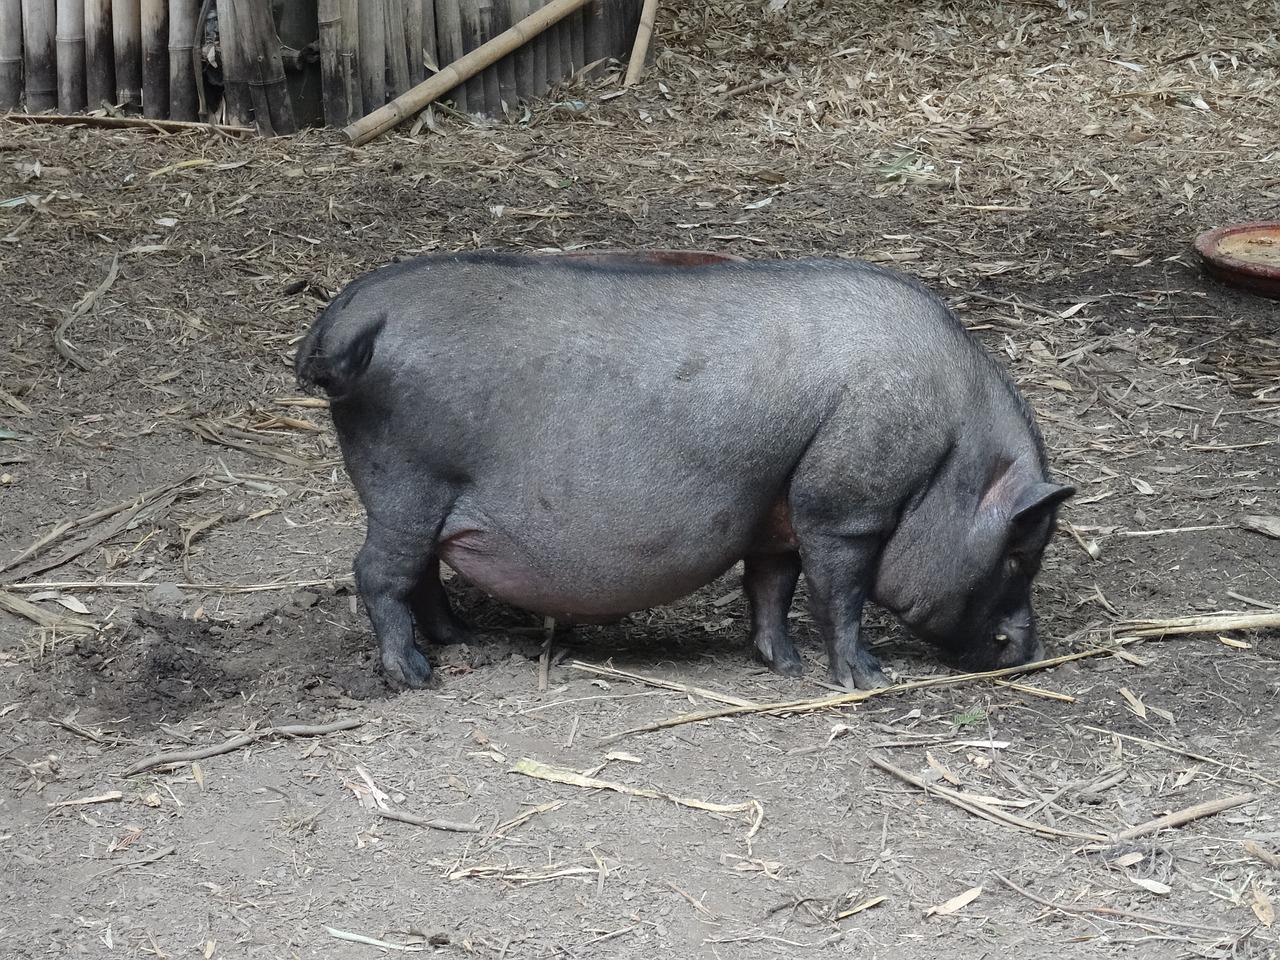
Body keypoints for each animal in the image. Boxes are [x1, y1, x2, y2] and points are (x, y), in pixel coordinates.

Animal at [294, 252, 1075, 691]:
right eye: (1021, 553)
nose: (1031, 647)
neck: (951, 456)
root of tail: (349, 317)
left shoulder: (778, 514)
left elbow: (771, 587)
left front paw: (784, 667)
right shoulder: (843, 510)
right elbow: (839, 594)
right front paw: (864, 679)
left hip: (420, 502)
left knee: (421, 573)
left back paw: (463, 641)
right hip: (405, 485)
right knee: (377, 573)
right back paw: (415, 678)